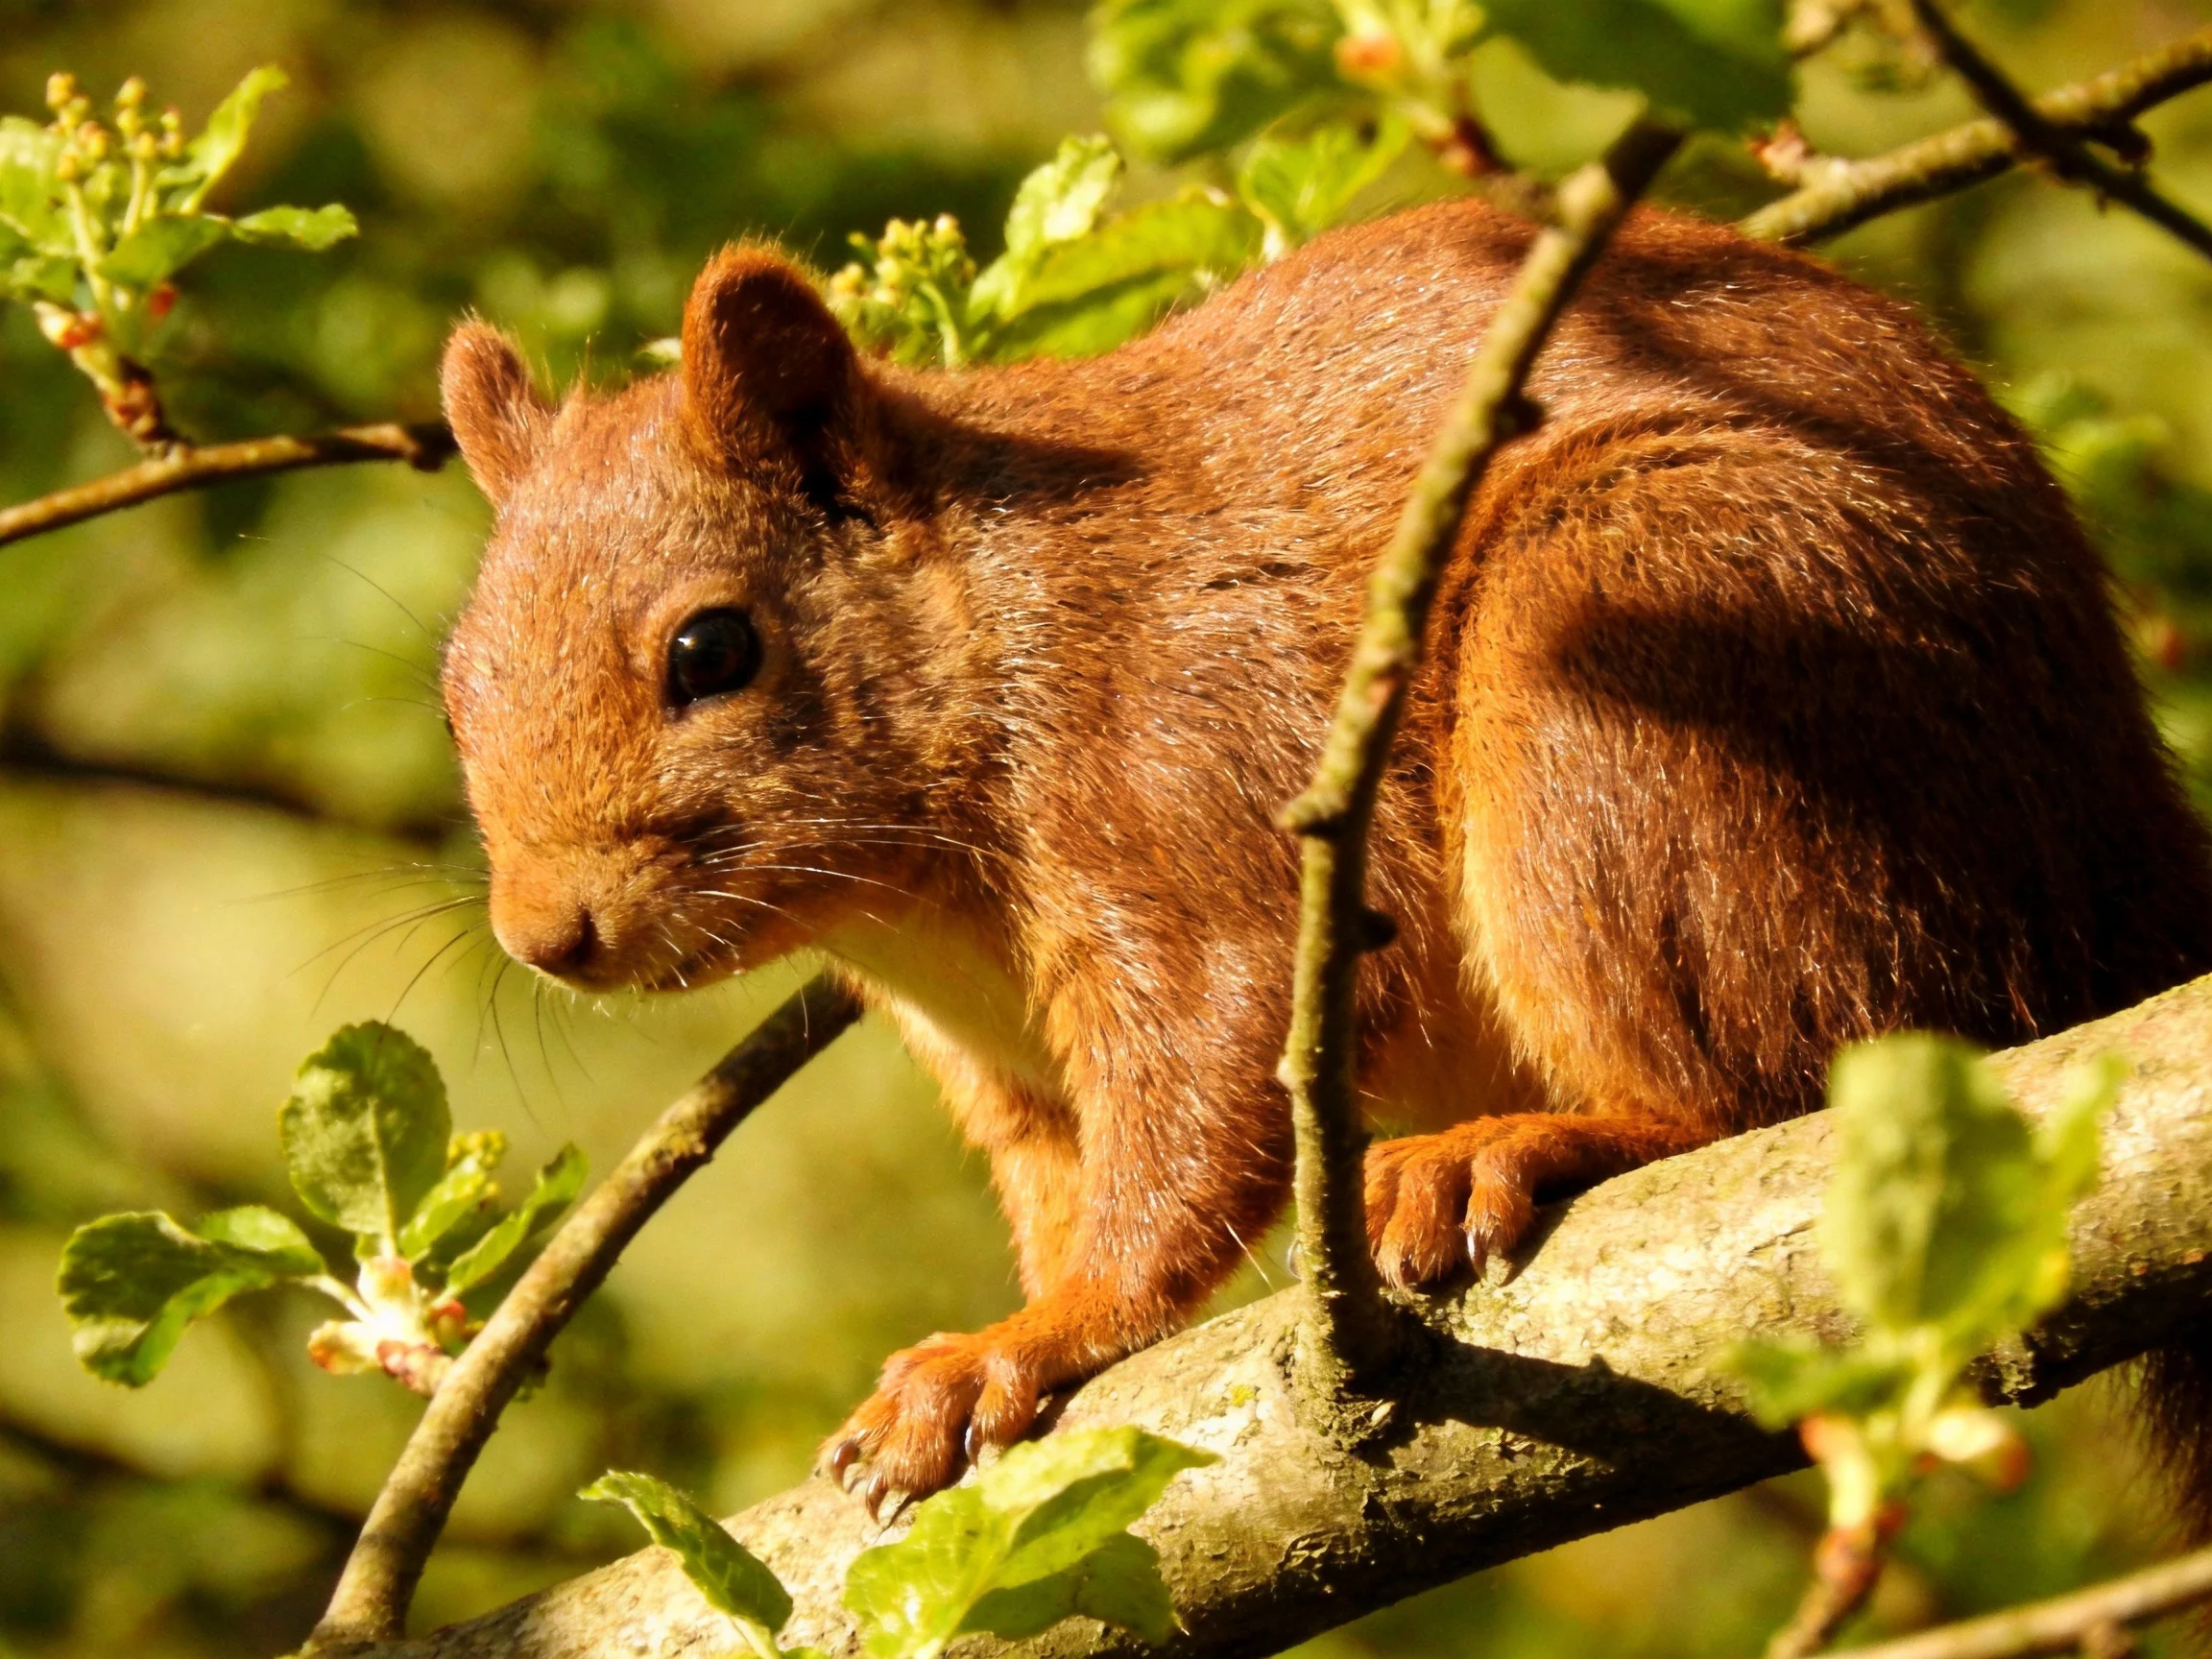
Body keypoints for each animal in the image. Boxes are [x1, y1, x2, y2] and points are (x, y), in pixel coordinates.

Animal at [437, 195, 2212, 1521]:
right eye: (455, 681)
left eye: (712, 649)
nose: (545, 933)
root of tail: (2122, 866)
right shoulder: (1006, 1073)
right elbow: (1065, 1184)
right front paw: (993, 1342)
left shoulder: (1188, 800)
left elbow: (1188, 1129)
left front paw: (1032, 1337)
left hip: (1651, 631)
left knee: (1772, 1078)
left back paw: (1517, 1143)